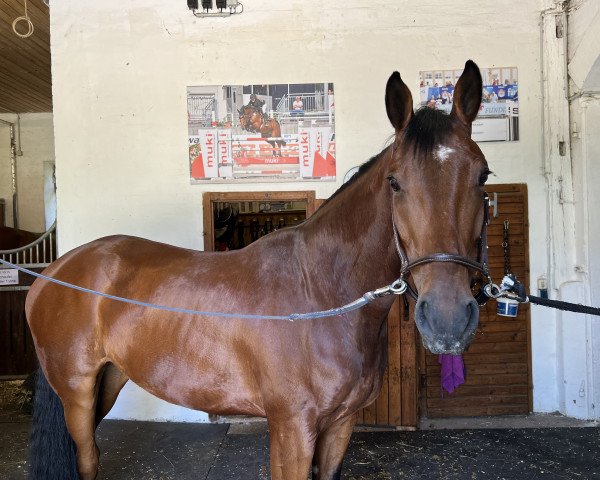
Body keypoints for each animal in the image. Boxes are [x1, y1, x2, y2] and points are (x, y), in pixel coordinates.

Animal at [27, 61, 488, 480]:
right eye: (394, 182)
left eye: (483, 177)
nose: (447, 319)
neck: (321, 294)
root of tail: (56, 269)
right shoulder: (292, 427)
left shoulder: (339, 426)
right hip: (77, 392)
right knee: (87, 458)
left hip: (108, 381)